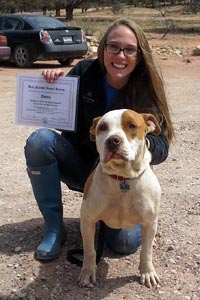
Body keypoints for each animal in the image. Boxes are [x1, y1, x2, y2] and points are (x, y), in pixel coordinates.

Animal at [77, 108, 161, 288]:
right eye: (102, 127)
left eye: (132, 125)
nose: (113, 140)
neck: (122, 178)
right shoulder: (88, 219)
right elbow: (89, 250)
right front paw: (88, 271)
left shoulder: (149, 221)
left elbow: (146, 251)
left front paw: (147, 272)